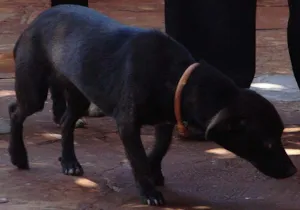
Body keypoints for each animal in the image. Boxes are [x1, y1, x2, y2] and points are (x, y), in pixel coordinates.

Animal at [9, 5, 298, 207]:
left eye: (279, 137)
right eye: (267, 143)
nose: (292, 171)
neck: (177, 77)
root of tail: (33, 23)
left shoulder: (166, 121)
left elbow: (159, 150)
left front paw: (153, 172)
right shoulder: (127, 124)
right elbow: (137, 157)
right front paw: (148, 190)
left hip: (79, 93)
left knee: (66, 122)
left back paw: (69, 161)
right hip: (34, 91)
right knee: (16, 112)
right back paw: (18, 156)